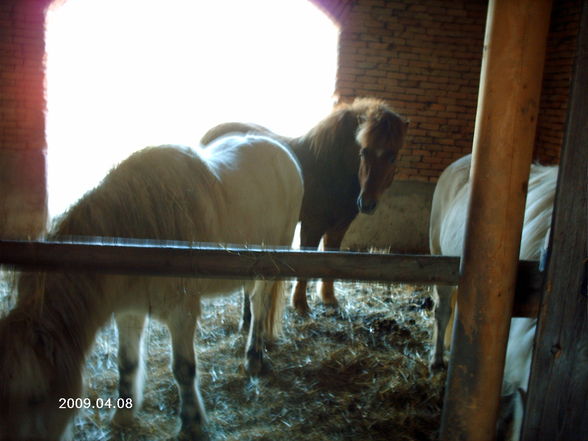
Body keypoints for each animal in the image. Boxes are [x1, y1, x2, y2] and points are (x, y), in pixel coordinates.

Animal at [0, 134, 304, 440]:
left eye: (36, 397)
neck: (140, 242)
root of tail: (280, 150)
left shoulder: (181, 314)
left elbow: (183, 369)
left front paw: (192, 422)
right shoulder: (128, 312)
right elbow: (126, 363)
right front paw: (122, 415)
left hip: (269, 266)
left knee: (260, 304)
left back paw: (254, 358)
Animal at [200, 98, 406, 314]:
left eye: (392, 156)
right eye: (363, 152)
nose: (366, 203)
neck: (330, 167)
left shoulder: (339, 227)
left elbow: (331, 258)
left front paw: (329, 298)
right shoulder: (312, 225)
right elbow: (306, 263)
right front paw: (300, 304)